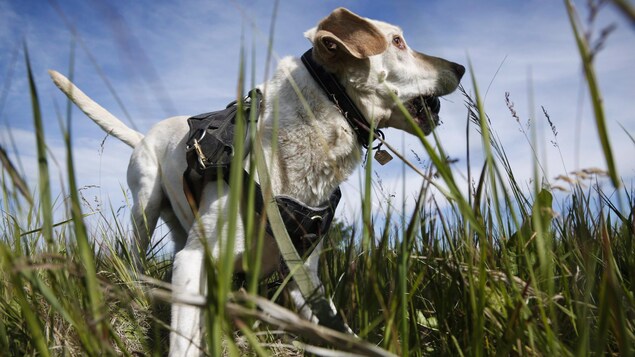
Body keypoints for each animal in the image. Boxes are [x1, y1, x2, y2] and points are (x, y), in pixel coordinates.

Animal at [49, 6, 464, 354]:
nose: (460, 68)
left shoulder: (304, 277)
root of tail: (143, 134)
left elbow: (337, 331)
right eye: (397, 42)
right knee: (137, 261)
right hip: (145, 208)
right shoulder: (193, 261)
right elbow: (184, 343)